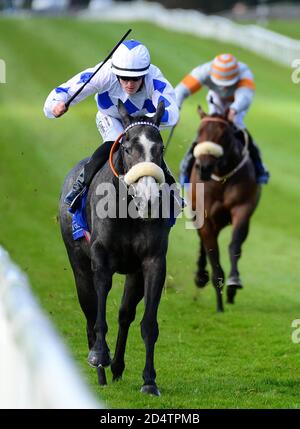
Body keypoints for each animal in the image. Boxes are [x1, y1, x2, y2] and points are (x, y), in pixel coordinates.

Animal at [59, 99, 171, 394]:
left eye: (160, 149)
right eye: (128, 147)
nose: (149, 199)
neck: (128, 211)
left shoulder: (153, 262)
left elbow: (148, 323)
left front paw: (149, 381)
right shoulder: (101, 259)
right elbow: (99, 315)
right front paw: (99, 355)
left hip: (134, 273)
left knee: (125, 315)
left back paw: (118, 366)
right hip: (78, 265)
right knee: (89, 313)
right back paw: (100, 369)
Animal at [189, 105, 262, 310]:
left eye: (223, 135)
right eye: (199, 132)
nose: (204, 167)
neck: (221, 177)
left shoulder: (242, 208)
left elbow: (234, 244)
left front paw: (233, 283)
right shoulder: (205, 216)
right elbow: (212, 252)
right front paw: (219, 303)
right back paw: (200, 276)